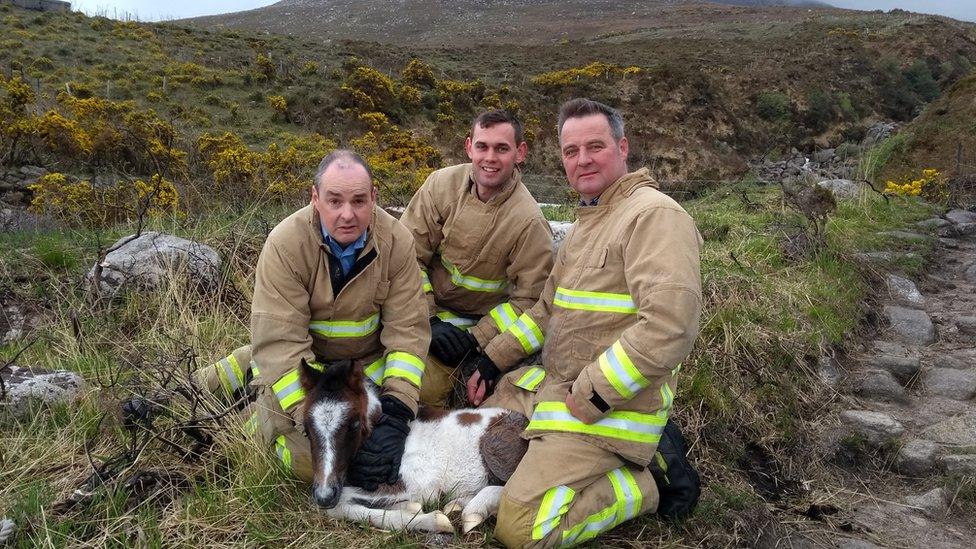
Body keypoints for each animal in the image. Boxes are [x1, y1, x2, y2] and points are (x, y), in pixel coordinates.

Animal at [298, 358, 528, 532]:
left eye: (354, 425)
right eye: (306, 430)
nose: (325, 495)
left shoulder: (414, 484)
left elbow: (340, 506)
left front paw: (431, 519)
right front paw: (411, 508)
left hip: (495, 448)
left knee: (511, 488)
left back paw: (473, 513)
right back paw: (456, 505)